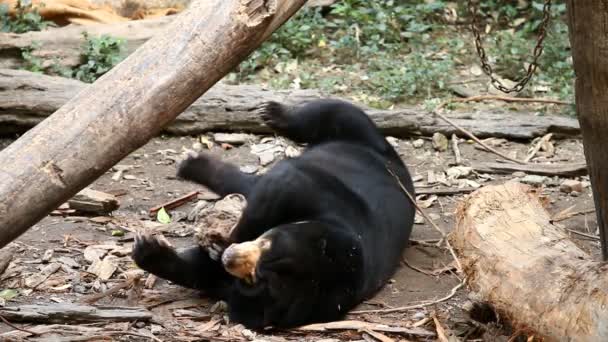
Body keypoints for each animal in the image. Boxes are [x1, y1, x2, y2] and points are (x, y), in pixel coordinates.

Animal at [132, 99, 418, 328]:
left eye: (254, 279)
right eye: (267, 243)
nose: (228, 258)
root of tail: (398, 164)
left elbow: (203, 273)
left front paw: (150, 249)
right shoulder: (329, 200)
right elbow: (283, 186)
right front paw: (218, 242)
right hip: (362, 137)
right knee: (338, 112)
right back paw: (269, 114)